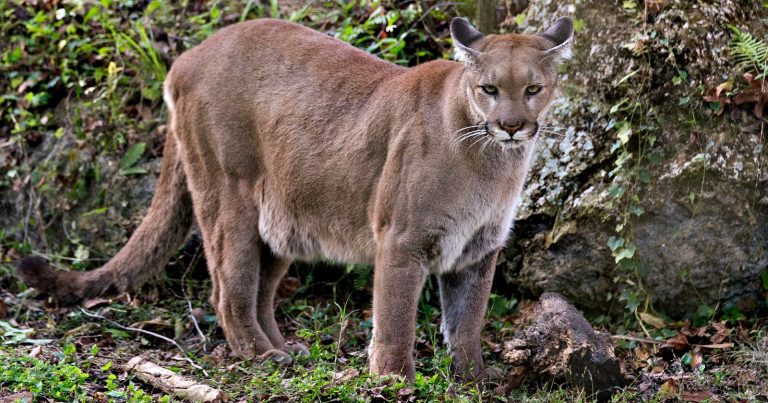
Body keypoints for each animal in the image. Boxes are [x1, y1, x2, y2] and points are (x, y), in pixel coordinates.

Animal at [16, 15, 568, 380]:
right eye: (489, 88)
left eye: (533, 88)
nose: (512, 126)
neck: (491, 161)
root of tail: (186, 57)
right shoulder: (403, 239)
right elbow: (396, 317)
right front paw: (394, 380)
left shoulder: (477, 250)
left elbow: (468, 321)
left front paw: (473, 378)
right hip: (229, 196)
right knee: (229, 290)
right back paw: (260, 356)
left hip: (281, 220)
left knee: (261, 291)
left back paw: (285, 349)